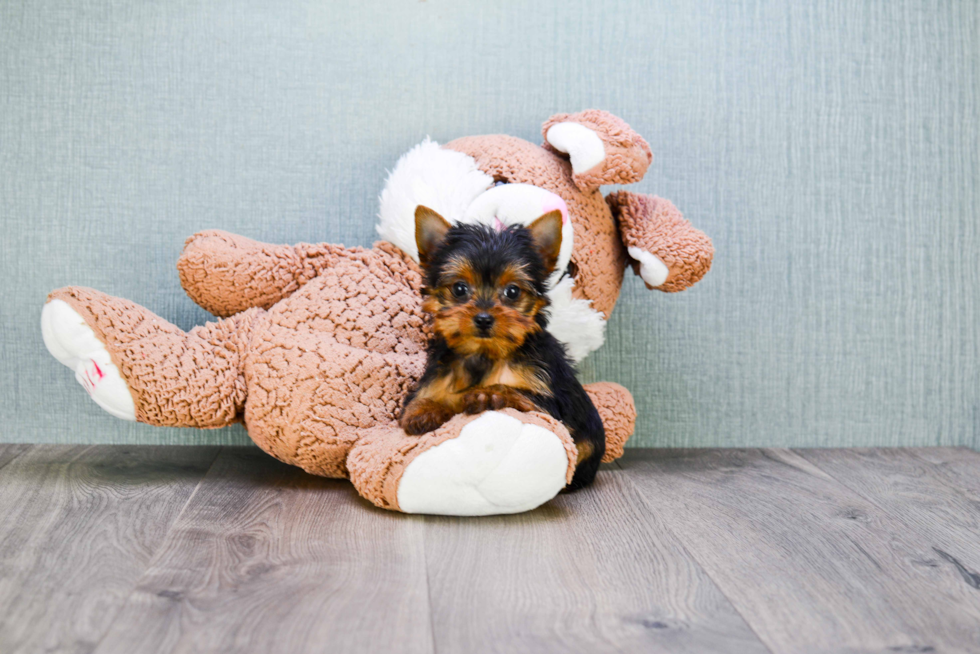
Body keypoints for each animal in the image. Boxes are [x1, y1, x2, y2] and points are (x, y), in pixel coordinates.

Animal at [400, 208, 604, 490]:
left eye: (513, 291)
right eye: (460, 289)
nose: (484, 318)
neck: (485, 354)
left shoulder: (551, 405)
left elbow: (516, 392)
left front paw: (487, 394)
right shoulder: (436, 379)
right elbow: (423, 400)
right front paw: (424, 410)